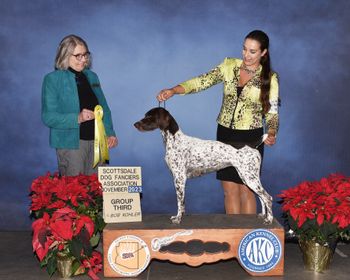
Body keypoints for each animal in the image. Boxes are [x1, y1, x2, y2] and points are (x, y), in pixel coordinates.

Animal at [134, 107, 274, 225]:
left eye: (149, 116)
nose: (135, 124)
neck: (174, 140)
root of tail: (251, 145)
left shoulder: (179, 178)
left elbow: (180, 202)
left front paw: (178, 218)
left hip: (250, 178)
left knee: (268, 197)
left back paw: (269, 219)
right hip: (247, 177)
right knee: (261, 197)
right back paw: (263, 215)